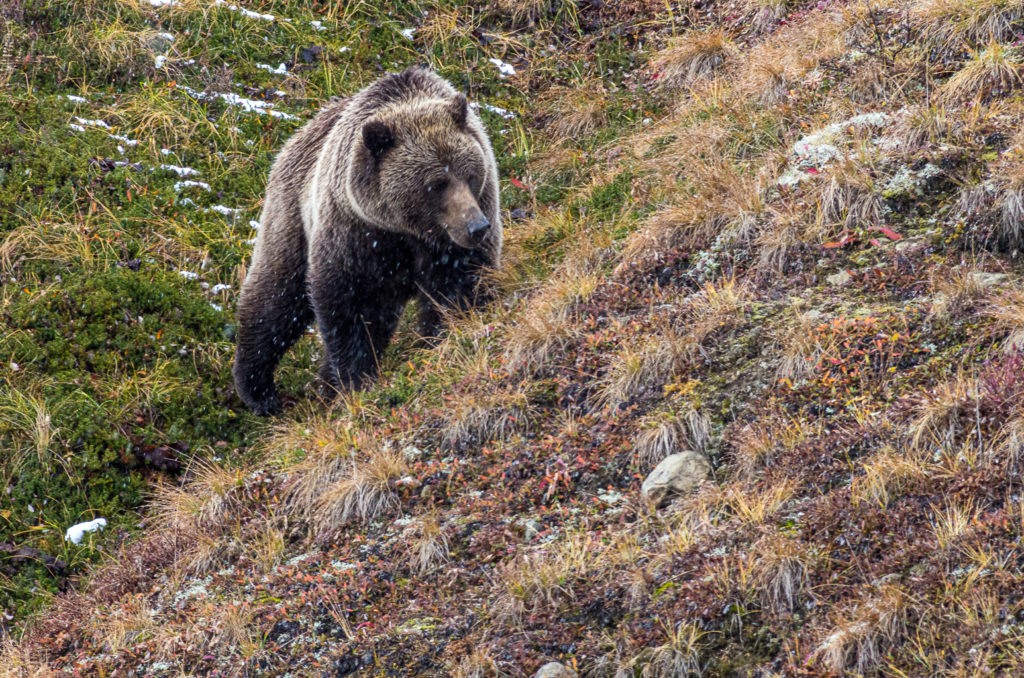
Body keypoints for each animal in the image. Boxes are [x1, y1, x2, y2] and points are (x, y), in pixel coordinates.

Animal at [233, 67, 503, 413]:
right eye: (436, 183)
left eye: (469, 174)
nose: (476, 227)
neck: (407, 231)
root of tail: (292, 141)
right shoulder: (356, 235)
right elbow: (351, 307)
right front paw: (355, 380)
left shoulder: (451, 241)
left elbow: (459, 288)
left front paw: (444, 338)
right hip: (292, 214)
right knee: (276, 297)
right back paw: (259, 389)